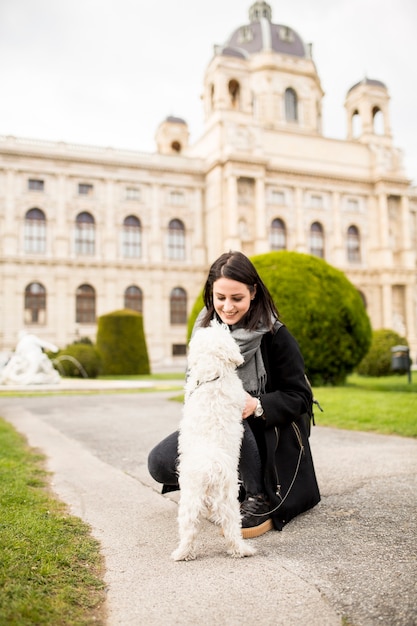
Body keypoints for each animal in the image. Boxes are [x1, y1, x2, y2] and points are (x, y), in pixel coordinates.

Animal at [171, 320, 255, 560]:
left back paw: (182, 553)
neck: (212, 376)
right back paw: (240, 550)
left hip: (195, 499)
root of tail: (211, 466)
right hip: (225, 499)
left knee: (191, 530)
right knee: (231, 528)